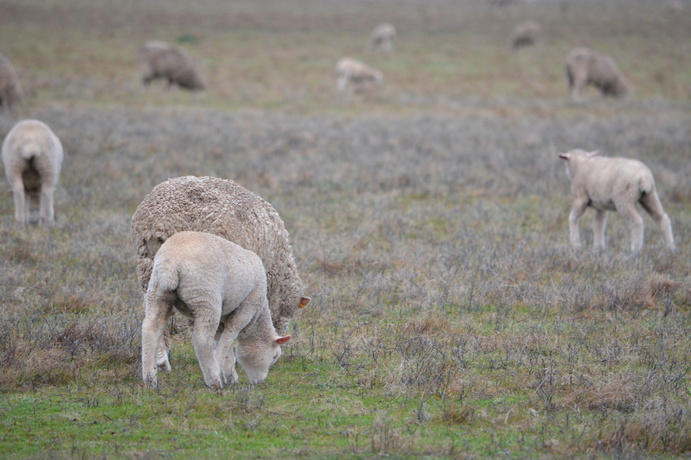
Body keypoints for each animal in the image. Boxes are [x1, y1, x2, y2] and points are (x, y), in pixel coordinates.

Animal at [143, 230, 290, 388]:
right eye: (274, 356)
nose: (259, 382)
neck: (259, 314)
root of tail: (170, 263)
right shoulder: (245, 309)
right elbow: (227, 339)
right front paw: (221, 370)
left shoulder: (223, 318)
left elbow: (223, 343)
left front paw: (231, 377)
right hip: (206, 298)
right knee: (202, 339)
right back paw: (213, 380)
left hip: (157, 292)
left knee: (150, 329)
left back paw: (150, 379)